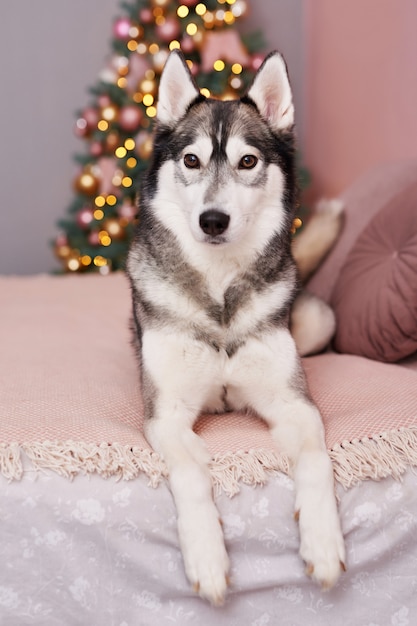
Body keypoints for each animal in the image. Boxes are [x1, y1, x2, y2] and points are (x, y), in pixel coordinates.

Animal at [126, 50, 344, 604]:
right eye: (191, 161)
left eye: (247, 162)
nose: (213, 220)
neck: (220, 291)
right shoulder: (166, 415)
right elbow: (189, 470)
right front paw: (207, 557)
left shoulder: (295, 404)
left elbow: (317, 459)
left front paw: (323, 544)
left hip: (317, 321)